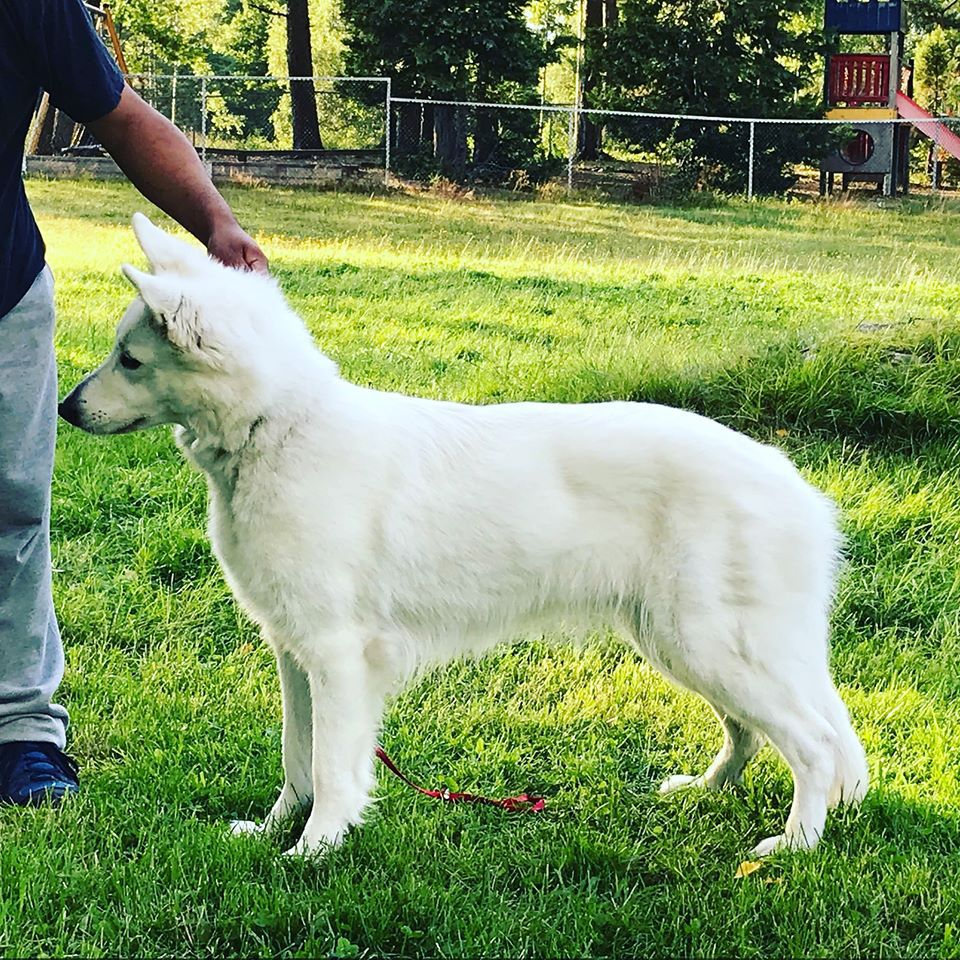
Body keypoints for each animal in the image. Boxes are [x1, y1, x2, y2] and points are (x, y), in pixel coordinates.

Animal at [60, 214, 872, 860]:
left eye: (130, 359)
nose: (65, 409)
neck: (278, 429)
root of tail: (797, 488)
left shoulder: (336, 656)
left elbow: (329, 767)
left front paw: (313, 851)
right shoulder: (293, 651)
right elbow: (296, 758)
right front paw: (272, 833)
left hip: (705, 643)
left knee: (814, 745)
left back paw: (791, 846)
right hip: (682, 644)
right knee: (753, 733)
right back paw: (704, 791)